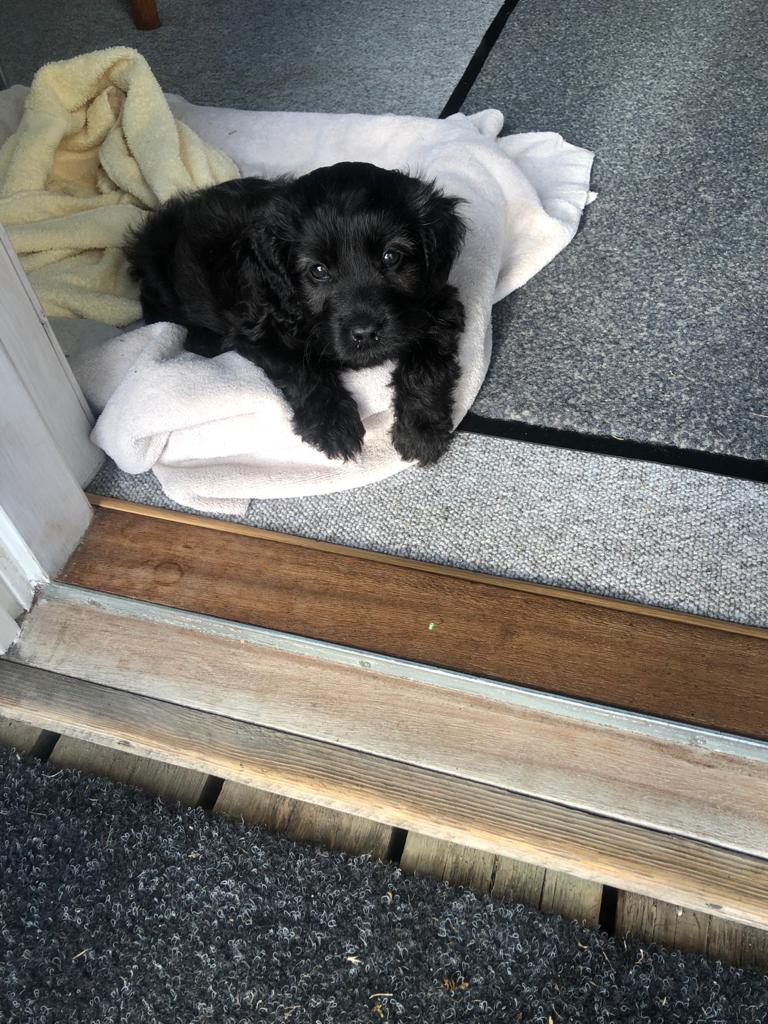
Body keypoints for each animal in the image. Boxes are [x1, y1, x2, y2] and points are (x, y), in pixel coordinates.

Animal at [126, 161, 466, 465]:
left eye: (391, 256)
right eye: (318, 270)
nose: (366, 332)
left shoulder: (440, 303)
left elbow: (426, 366)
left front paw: (422, 429)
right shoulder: (259, 331)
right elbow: (303, 370)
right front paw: (333, 425)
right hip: (158, 270)